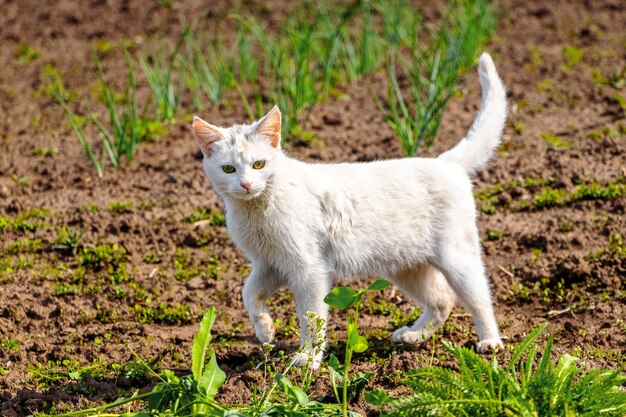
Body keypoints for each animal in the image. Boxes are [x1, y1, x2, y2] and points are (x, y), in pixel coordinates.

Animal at [193, 52, 504, 368]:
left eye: (258, 164)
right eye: (228, 169)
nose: (245, 184)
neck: (257, 208)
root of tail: (446, 162)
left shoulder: (309, 268)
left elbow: (311, 317)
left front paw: (309, 358)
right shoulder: (270, 264)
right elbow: (248, 293)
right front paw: (265, 329)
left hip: (457, 258)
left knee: (480, 299)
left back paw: (490, 343)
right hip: (407, 266)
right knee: (442, 301)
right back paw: (414, 335)